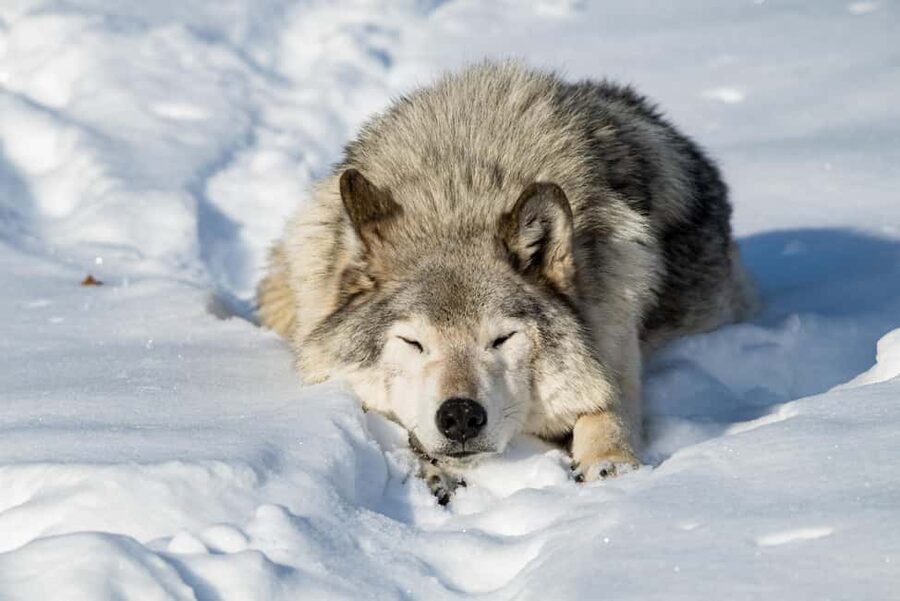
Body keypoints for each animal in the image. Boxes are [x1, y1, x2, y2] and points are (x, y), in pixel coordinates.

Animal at [257, 61, 757, 501]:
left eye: (502, 339)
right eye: (414, 343)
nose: (460, 416)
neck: (461, 195)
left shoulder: (612, 341)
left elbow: (605, 413)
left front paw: (610, 467)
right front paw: (433, 472)